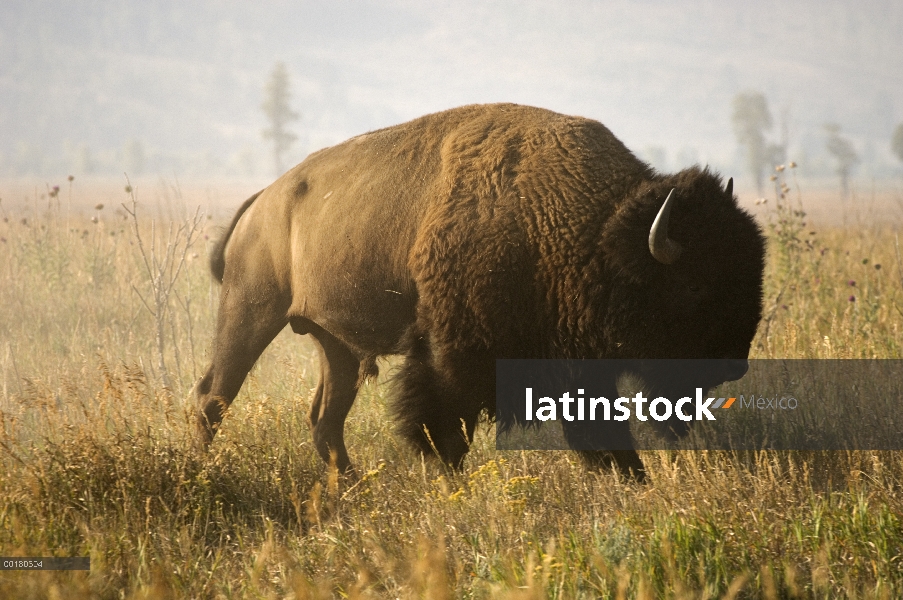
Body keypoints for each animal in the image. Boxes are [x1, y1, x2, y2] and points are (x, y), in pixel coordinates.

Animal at [196, 102, 764, 478]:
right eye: (694, 285)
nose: (735, 363)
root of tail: (262, 201)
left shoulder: (580, 363)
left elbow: (601, 432)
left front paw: (631, 480)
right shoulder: (450, 356)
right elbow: (445, 431)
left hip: (335, 343)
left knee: (324, 420)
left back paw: (350, 491)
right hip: (251, 311)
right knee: (213, 398)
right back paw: (201, 474)